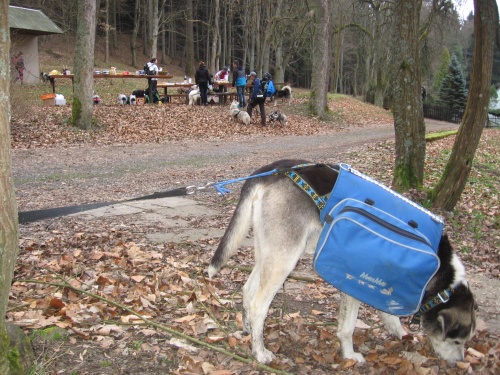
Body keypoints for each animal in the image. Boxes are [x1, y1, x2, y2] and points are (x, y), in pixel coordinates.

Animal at [209, 160, 478, 366]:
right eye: (457, 341)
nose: (459, 362)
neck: (440, 275)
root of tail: (273, 171)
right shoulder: (355, 287)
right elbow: (348, 328)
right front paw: (350, 355)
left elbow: (388, 315)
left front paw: (400, 333)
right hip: (284, 259)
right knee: (259, 306)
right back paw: (260, 352)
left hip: (268, 252)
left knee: (247, 290)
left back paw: (247, 330)